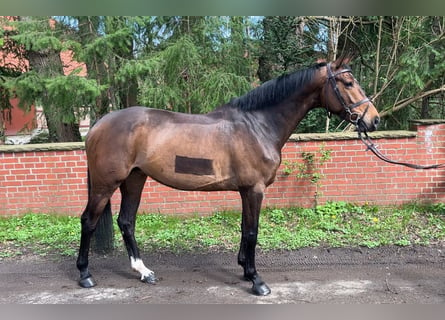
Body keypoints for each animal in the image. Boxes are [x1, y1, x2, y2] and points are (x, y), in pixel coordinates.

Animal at [75, 54, 378, 296]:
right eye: (348, 83)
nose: (373, 119)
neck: (257, 125)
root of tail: (99, 124)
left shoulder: (246, 190)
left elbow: (245, 229)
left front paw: (245, 269)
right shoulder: (255, 189)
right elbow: (253, 231)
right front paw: (257, 281)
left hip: (135, 179)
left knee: (126, 221)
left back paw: (144, 272)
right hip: (106, 184)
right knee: (89, 221)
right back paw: (85, 275)